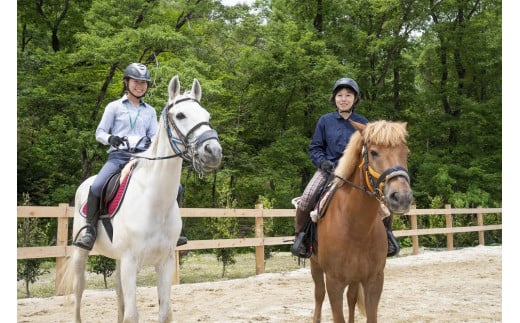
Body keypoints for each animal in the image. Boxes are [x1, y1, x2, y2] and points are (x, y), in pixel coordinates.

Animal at [60, 74, 222, 322]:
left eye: (207, 116)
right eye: (180, 115)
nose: (213, 151)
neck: (154, 202)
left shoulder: (165, 262)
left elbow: (164, 312)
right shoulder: (130, 261)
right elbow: (132, 315)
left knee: (118, 293)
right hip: (82, 253)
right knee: (79, 292)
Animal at [308, 120, 414, 322]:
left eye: (405, 152)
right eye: (373, 152)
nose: (402, 197)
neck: (356, 229)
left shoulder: (374, 280)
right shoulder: (334, 283)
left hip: (355, 278)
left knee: (351, 298)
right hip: (315, 264)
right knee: (318, 294)